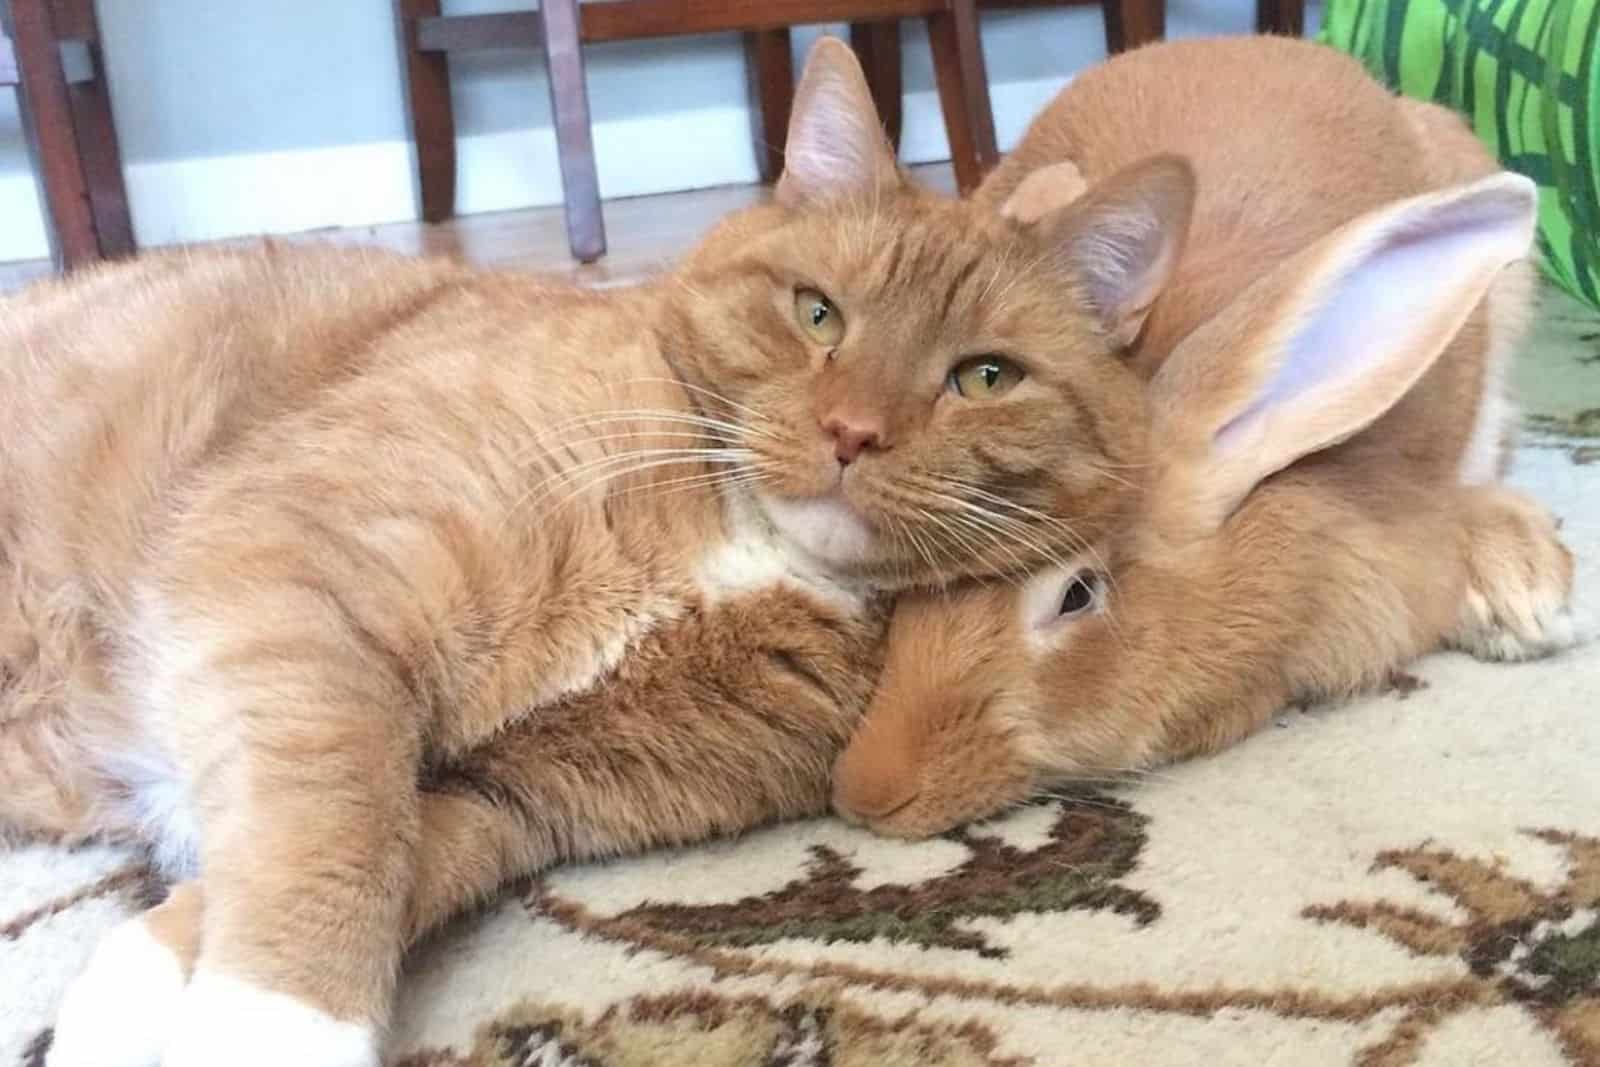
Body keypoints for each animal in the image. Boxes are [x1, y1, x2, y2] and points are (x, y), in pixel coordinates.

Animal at [0, 39, 1190, 1067]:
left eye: (984, 377)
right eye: (817, 316)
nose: (852, 432)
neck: (741, 541)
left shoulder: (514, 798)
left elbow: (398, 853)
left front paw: (151, 985)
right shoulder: (296, 574)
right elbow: (338, 820)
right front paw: (275, 1027)